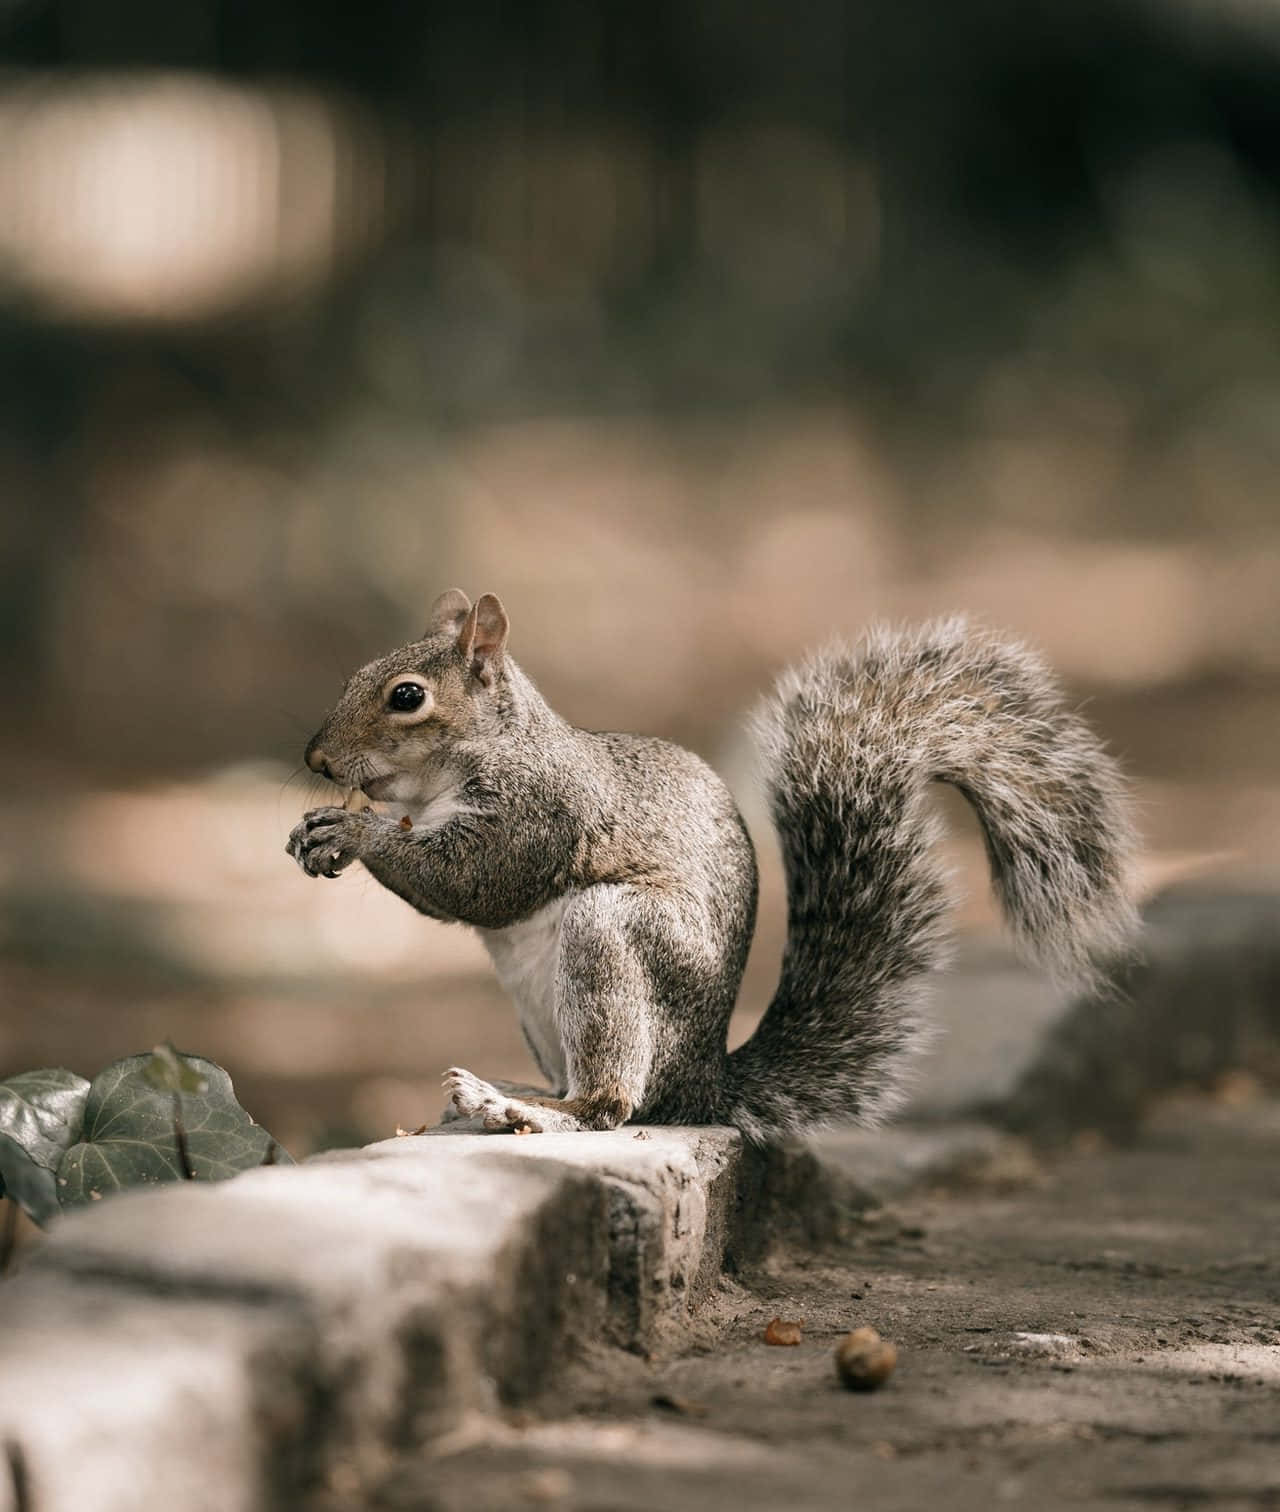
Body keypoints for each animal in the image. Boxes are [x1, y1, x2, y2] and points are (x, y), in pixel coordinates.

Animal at [285, 583, 1136, 1137]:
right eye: (358, 675)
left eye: (406, 696)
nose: (316, 759)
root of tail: (702, 1082)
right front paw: (317, 828)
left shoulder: (541, 814)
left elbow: (474, 883)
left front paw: (355, 833)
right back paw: (518, 1089)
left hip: (612, 939)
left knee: (609, 1106)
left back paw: (523, 1108)